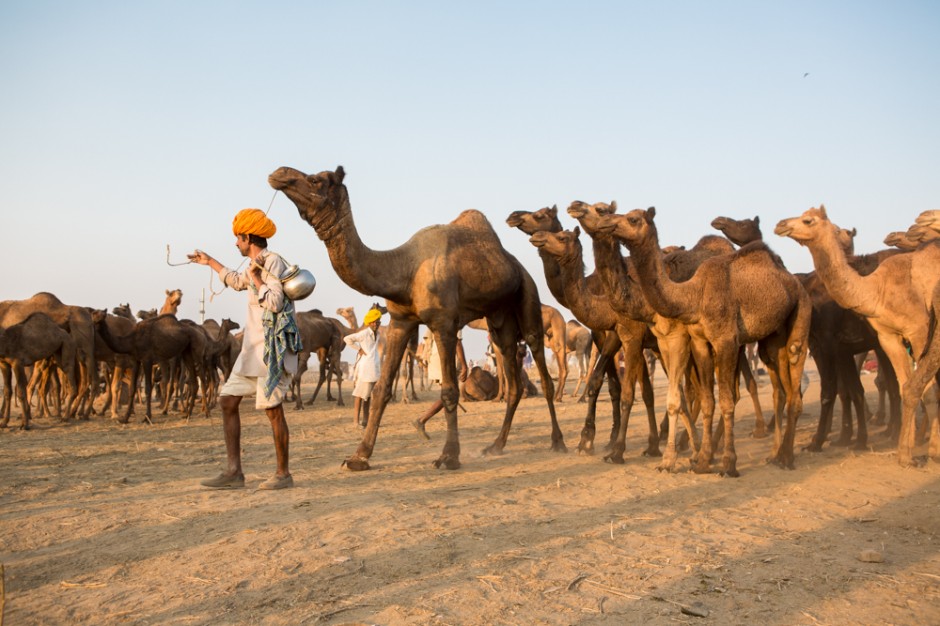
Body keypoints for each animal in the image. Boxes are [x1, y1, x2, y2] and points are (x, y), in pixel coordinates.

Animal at [268, 166, 568, 468]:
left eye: (315, 179)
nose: (279, 173)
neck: (405, 270)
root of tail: (517, 266)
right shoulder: (401, 321)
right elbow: (381, 389)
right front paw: (359, 456)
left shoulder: (444, 324)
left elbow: (449, 390)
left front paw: (448, 456)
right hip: (499, 318)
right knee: (512, 375)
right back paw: (495, 446)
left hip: (527, 294)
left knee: (541, 365)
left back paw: (558, 442)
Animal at [600, 205, 812, 472]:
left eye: (633, 219)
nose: (606, 221)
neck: (694, 295)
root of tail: (794, 281)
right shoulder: (699, 341)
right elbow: (708, 400)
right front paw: (702, 461)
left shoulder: (726, 340)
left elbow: (727, 400)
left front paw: (728, 463)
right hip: (772, 339)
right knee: (781, 390)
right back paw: (775, 454)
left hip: (801, 315)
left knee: (795, 379)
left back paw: (787, 458)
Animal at [776, 205, 940, 464]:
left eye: (808, 220)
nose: (781, 224)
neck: (876, 289)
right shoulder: (883, 338)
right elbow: (891, 387)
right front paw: (902, 450)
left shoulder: (918, 331)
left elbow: (834, 391)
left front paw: (820, 441)